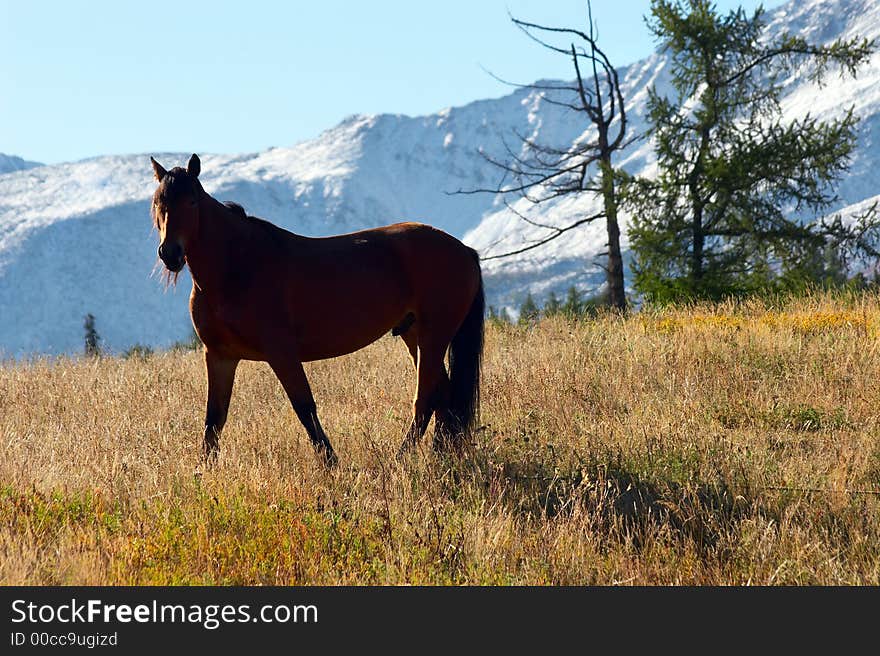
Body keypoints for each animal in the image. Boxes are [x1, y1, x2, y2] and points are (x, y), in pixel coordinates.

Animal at [149, 154, 484, 466]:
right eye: (158, 202)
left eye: (192, 201)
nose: (170, 254)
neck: (237, 267)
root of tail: (464, 250)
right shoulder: (220, 356)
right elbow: (214, 418)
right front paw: (203, 470)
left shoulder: (281, 353)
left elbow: (305, 408)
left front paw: (331, 464)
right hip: (414, 334)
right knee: (443, 397)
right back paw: (442, 456)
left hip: (433, 336)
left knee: (426, 398)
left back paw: (402, 459)